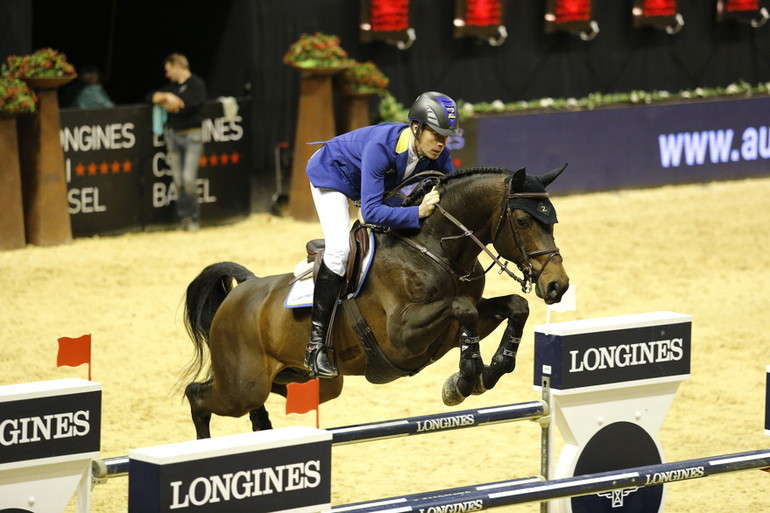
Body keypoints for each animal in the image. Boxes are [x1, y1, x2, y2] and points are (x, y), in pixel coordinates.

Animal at [178, 166, 564, 438]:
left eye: (553, 220)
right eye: (522, 220)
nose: (558, 285)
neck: (435, 248)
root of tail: (242, 290)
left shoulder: (457, 326)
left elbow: (515, 306)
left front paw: (489, 370)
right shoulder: (403, 335)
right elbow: (462, 308)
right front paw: (465, 379)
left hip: (301, 382)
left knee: (258, 407)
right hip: (241, 385)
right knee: (198, 397)